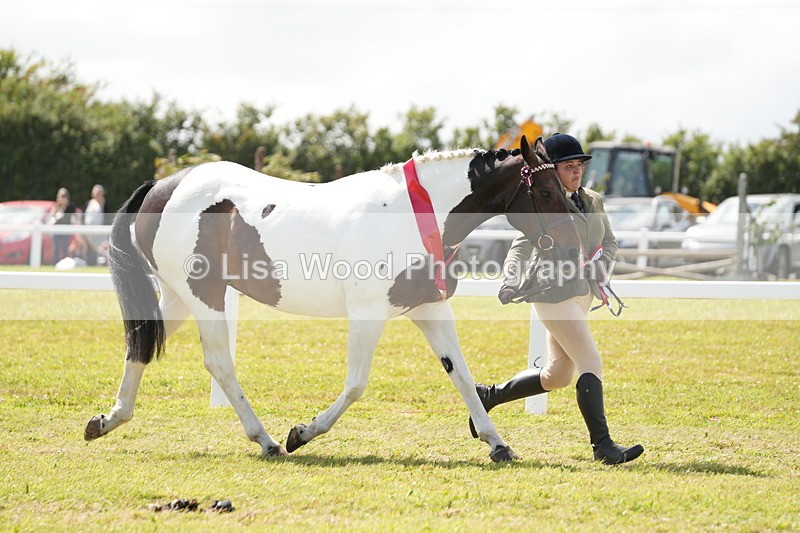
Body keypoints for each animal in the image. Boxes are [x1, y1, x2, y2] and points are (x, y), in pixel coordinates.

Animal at [84, 135, 583, 462]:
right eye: (545, 191)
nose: (573, 249)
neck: (417, 212)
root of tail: (162, 187)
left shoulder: (429, 310)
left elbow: (461, 376)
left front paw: (498, 444)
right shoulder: (368, 314)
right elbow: (357, 384)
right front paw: (302, 433)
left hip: (178, 295)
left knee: (140, 346)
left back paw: (108, 420)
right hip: (204, 295)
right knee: (218, 363)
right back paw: (267, 440)